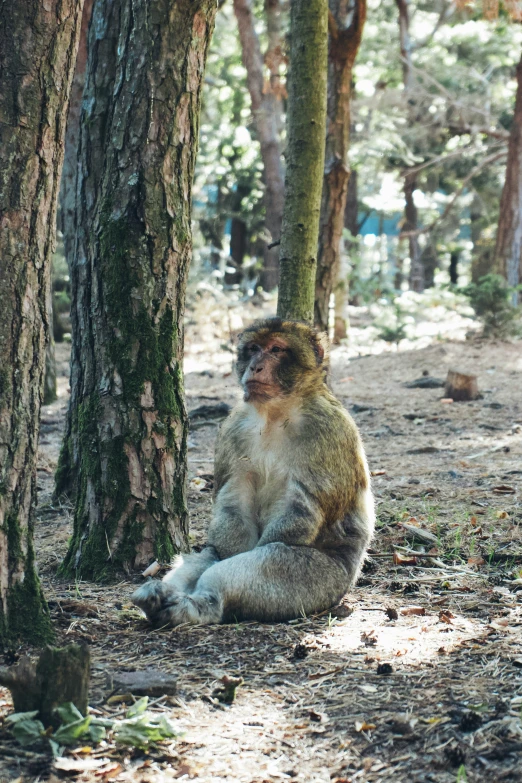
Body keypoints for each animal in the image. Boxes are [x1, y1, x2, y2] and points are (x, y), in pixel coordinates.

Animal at [132, 316, 372, 628]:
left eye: (276, 350)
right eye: (254, 348)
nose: (255, 366)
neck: (276, 413)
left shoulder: (328, 429)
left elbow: (300, 510)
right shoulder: (234, 427)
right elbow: (233, 501)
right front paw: (223, 550)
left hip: (329, 578)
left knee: (269, 560)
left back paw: (202, 605)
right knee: (206, 556)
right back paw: (160, 598)